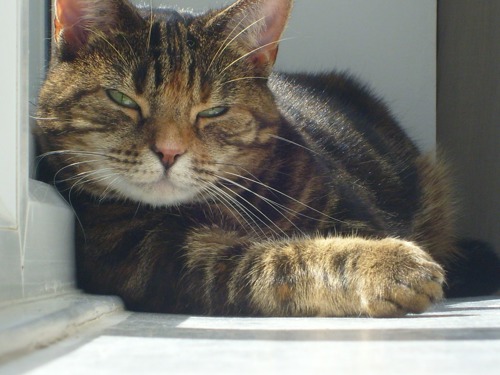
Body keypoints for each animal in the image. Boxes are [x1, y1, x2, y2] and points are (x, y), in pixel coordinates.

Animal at [36, 0, 500, 318]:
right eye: (122, 99)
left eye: (213, 111)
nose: (169, 151)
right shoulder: (164, 259)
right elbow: (288, 258)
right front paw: (389, 263)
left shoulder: (354, 210)